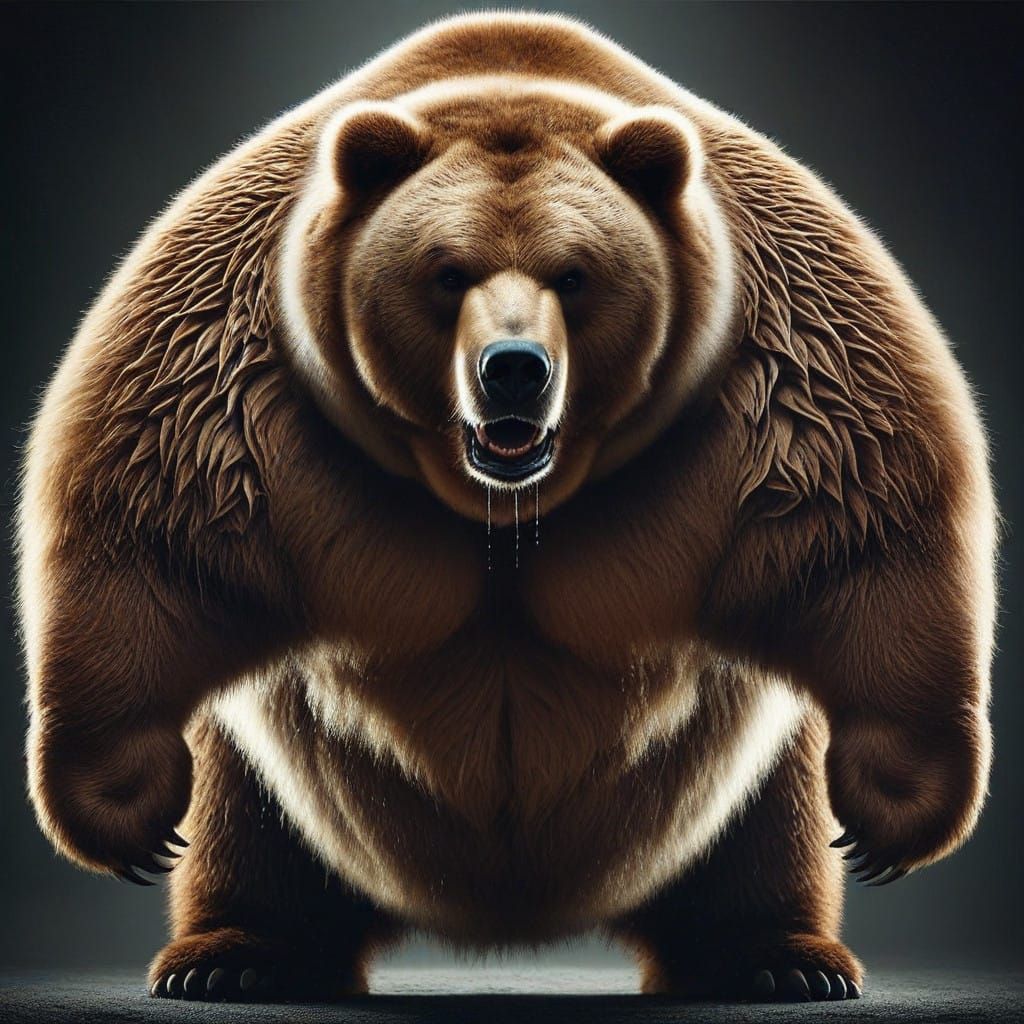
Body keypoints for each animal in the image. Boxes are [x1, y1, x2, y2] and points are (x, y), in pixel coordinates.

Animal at [18, 11, 996, 1005]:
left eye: (576, 274)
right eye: (447, 272)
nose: (516, 369)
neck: (504, 505)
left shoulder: (772, 385)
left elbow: (866, 538)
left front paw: (893, 806)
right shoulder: (242, 385)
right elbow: (152, 539)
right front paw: (123, 803)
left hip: (735, 790)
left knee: (760, 840)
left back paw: (775, 957)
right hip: (278, 787)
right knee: (254, 836)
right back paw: (236, 955)